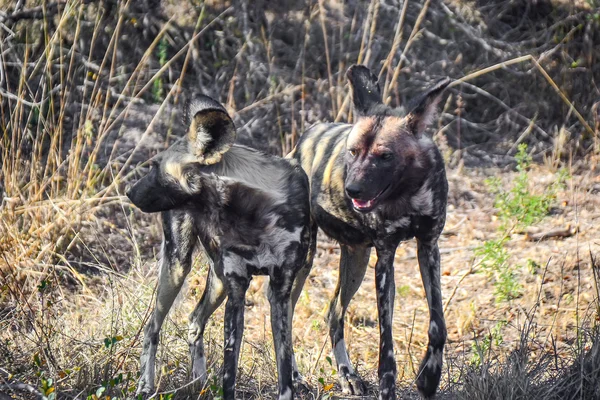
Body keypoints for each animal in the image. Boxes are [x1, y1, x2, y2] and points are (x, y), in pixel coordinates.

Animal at [126, 94, 314, 400]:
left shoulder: (280, 291)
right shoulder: (237, 290)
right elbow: (229, 373)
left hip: (218, 282)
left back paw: (199, 383)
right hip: (179, 268)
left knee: (195, 319)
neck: (254, 213)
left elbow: (284, 369)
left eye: (154, 167)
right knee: (152, 327)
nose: (129, 192)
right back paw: (146, 385)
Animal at [290, 65, 450, 400]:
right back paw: (295, 379)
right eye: (352, 152)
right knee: (284, 313)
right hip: (305, 258)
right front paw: (388, 388)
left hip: (357, 260)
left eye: (384, 156)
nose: (352, 190)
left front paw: (429, 377)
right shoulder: (385, 260)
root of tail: (303, 140)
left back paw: (347, 376)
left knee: (334, 312)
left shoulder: (428, 247)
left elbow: (438, 325)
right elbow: (385, 342)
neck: (405, 194)